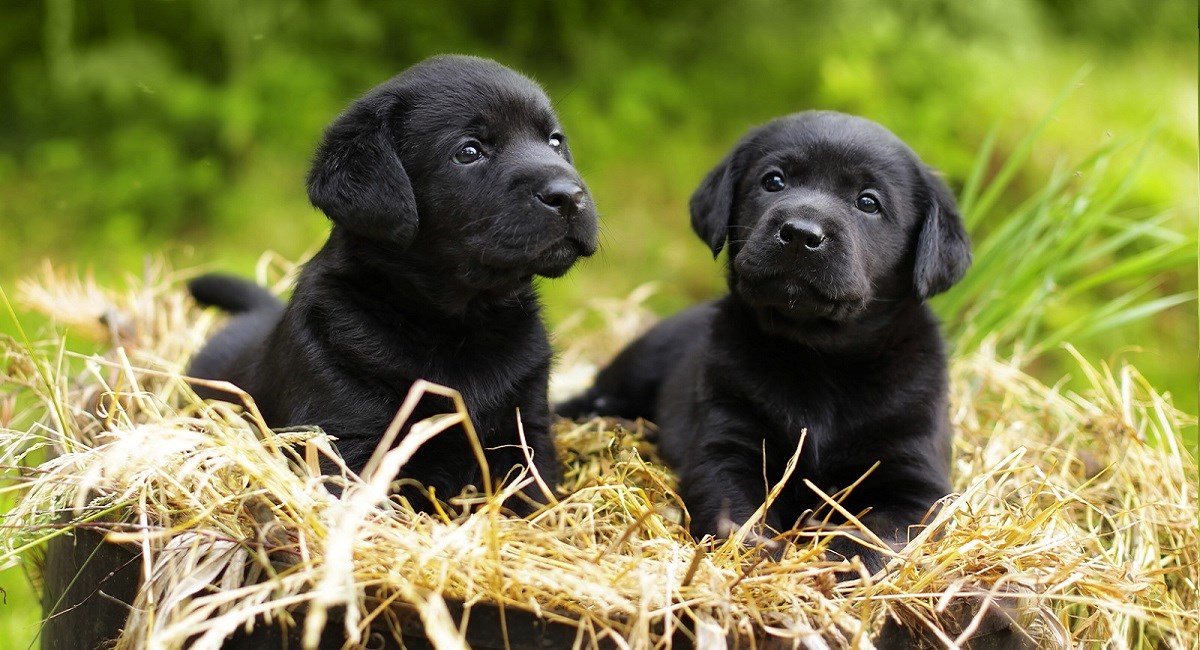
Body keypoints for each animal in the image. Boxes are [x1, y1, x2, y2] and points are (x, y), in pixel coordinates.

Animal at [189, 54, 597, 515]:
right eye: (469, 151)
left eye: (554, 141)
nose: (570, 195)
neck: (456, 322)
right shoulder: (344, 440)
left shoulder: (527, 429)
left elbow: (534, 497)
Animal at [556, 113, 969, 575]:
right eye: (774, 181)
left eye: (868, 202)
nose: (801, 234)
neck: (820, 357)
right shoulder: (727, 448)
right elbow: (738, 516)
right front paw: (757, 559)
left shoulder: (915, 481)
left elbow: (876, 534)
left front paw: (837, 565)